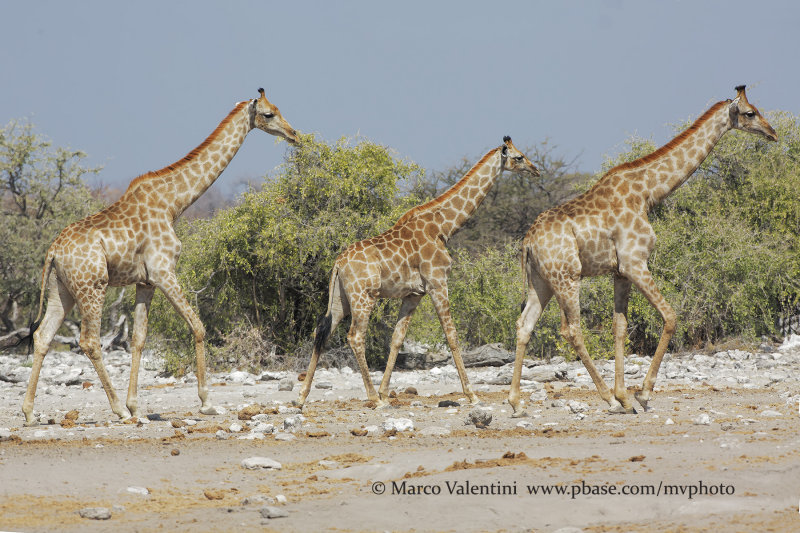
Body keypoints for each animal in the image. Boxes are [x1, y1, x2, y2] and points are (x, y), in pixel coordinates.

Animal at [21, 88, 298, 424]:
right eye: (269, 114)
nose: (294, 134)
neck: (173, 203)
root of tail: (53, 251)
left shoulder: (146, 281)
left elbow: (139, 339)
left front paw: (135, 405)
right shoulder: (164, 271)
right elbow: (199, 327)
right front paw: (206, 402)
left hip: (61, 289)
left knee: (43, 336)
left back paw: (29, 412)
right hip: (93, 286)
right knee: (89, 341)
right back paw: (116, 409)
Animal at [296, 136, 536, 408]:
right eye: (519, 157)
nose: (536, 170)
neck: (443, 227)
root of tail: (338, 263)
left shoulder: (414, 294)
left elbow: (397, 339)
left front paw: (385, 391)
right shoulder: (437, 282)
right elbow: (451, 335)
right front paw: (471, 394)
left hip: (341, 299)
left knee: (322, 331)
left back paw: (302, 397)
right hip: (364, 297)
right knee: (355, 336)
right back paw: (372, 398)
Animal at [510, 84, 780, 416]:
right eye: (750, 113)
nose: (772, 133)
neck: (648, 193)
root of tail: (528, 242)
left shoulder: (620, 272)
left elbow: (620, 327)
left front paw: (626, 395)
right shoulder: (635, 263)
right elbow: (670, 316)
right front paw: (642, 394)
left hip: (541, 281)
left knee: (525, 325)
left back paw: (515, 402)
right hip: (567, 278)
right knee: (571, 329)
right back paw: (607, 399)